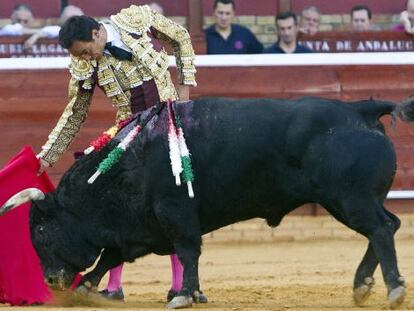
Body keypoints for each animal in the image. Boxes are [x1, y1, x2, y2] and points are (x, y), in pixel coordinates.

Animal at [2, 97, 414, 310]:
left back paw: (392, 288)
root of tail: (360, 110)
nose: (50, 280)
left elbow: (188, 251)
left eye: (41, 229)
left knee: (380, 229)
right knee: (387, 227)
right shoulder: (139, 226)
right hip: (350, 200)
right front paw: (87, 287)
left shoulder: (174, 213)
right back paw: (362, 285)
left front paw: (185, 295)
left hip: (348, 197)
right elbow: (111, 256)